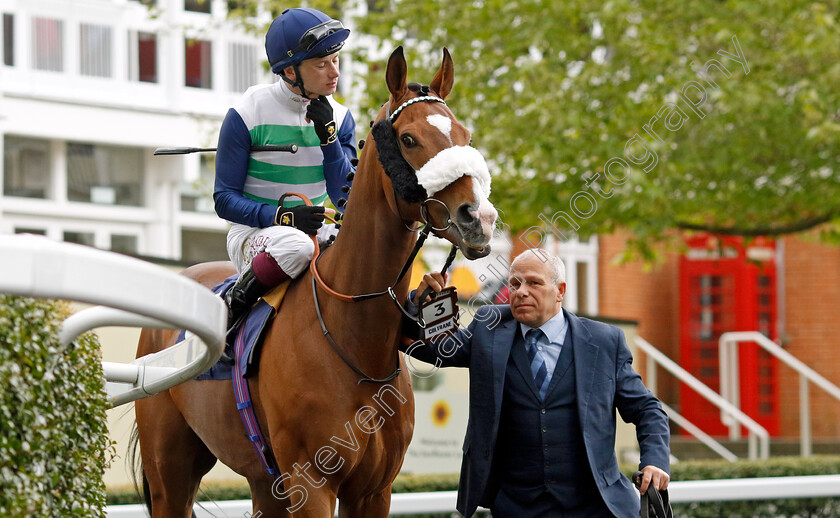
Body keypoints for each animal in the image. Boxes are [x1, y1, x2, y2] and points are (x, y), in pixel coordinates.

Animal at [135, 46, 496, 516]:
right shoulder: (311, 482)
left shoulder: (374, 491)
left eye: (465, 135)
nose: (479, 219)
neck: (355, 341)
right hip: (171, 472)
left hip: (262, 479)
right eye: (408, 139)